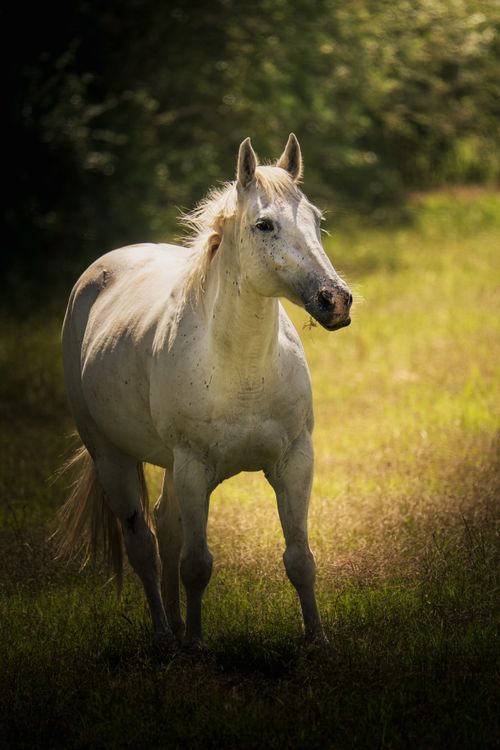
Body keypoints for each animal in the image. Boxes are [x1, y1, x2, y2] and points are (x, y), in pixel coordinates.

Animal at [55, 134, 352, 650]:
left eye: (316, 219)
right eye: (264, 224)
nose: (335, 300)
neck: (242, 370)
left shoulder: (294, 460)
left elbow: (299, 558)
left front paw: (316, 640)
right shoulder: (194, 468)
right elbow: (196, 564)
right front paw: (195, 645)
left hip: (171, 467)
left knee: (166, 528)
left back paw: (175, 625)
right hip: (112, 456)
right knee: (144, 543)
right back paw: (166, 635)